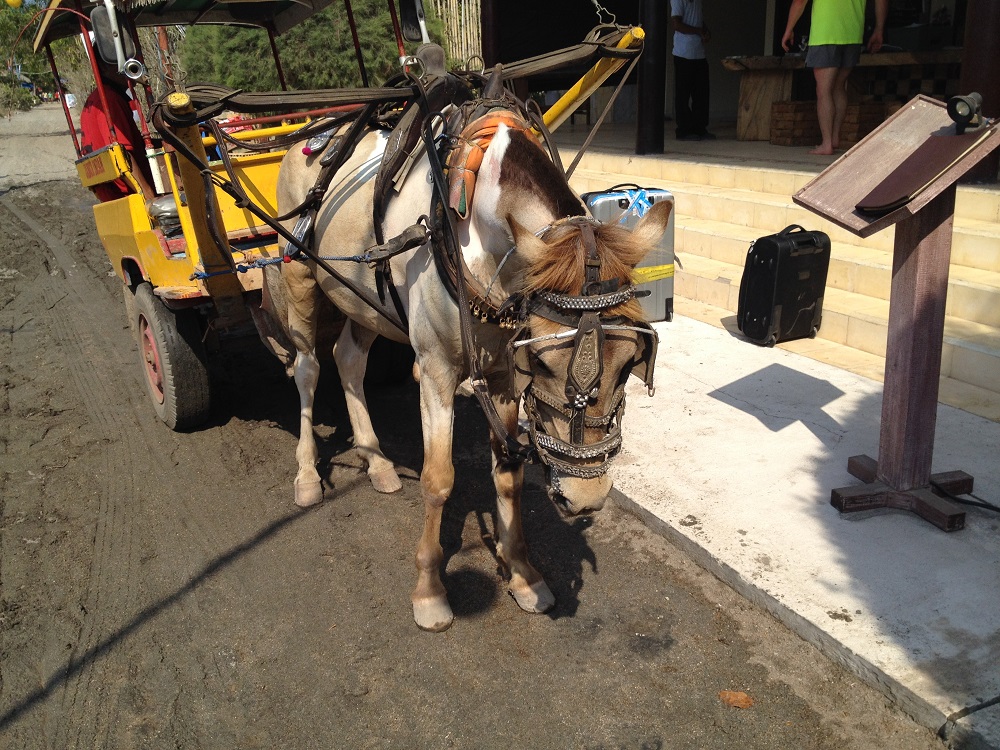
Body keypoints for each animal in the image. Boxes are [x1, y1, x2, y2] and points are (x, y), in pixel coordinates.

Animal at [266, 73, 672, 632]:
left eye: (632, 363)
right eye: (542, 361)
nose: (585, 498)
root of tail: (308, 132)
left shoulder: (501, 372)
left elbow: (509, 474)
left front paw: (522, 573)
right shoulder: (436, 368)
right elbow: (439, 480)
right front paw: (430, 589)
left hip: (365, 299)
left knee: (349, 358)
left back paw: (375, 459)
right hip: (301, 274)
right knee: (307, 369)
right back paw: (307, 472)